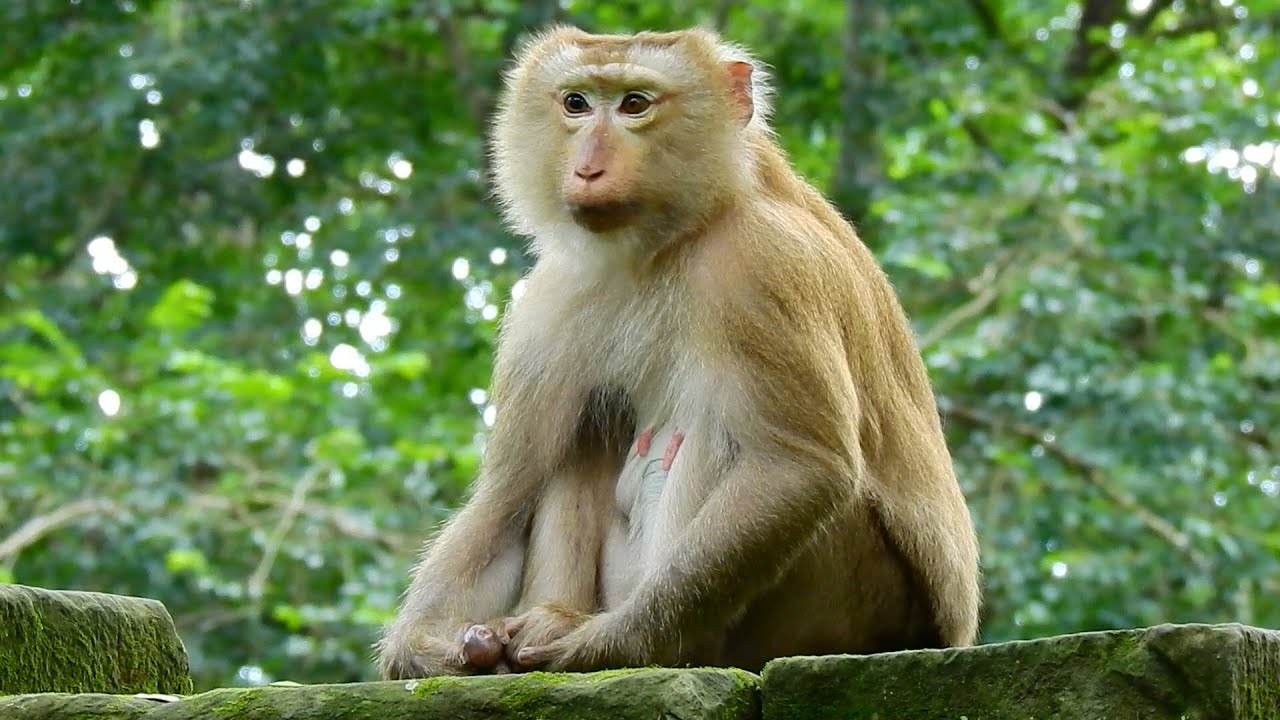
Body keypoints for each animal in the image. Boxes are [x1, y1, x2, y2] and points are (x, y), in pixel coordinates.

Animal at [375, 25, 982, 679]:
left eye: (635, 104)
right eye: (576, 103)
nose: (589, 166)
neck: (667, 241)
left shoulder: (762, 265)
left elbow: (799, 467)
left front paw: (610, 642)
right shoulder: (546, 305)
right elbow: (510, 491)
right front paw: (424, 646)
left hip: (852, 598)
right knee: (589, 429)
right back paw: (551, 614)